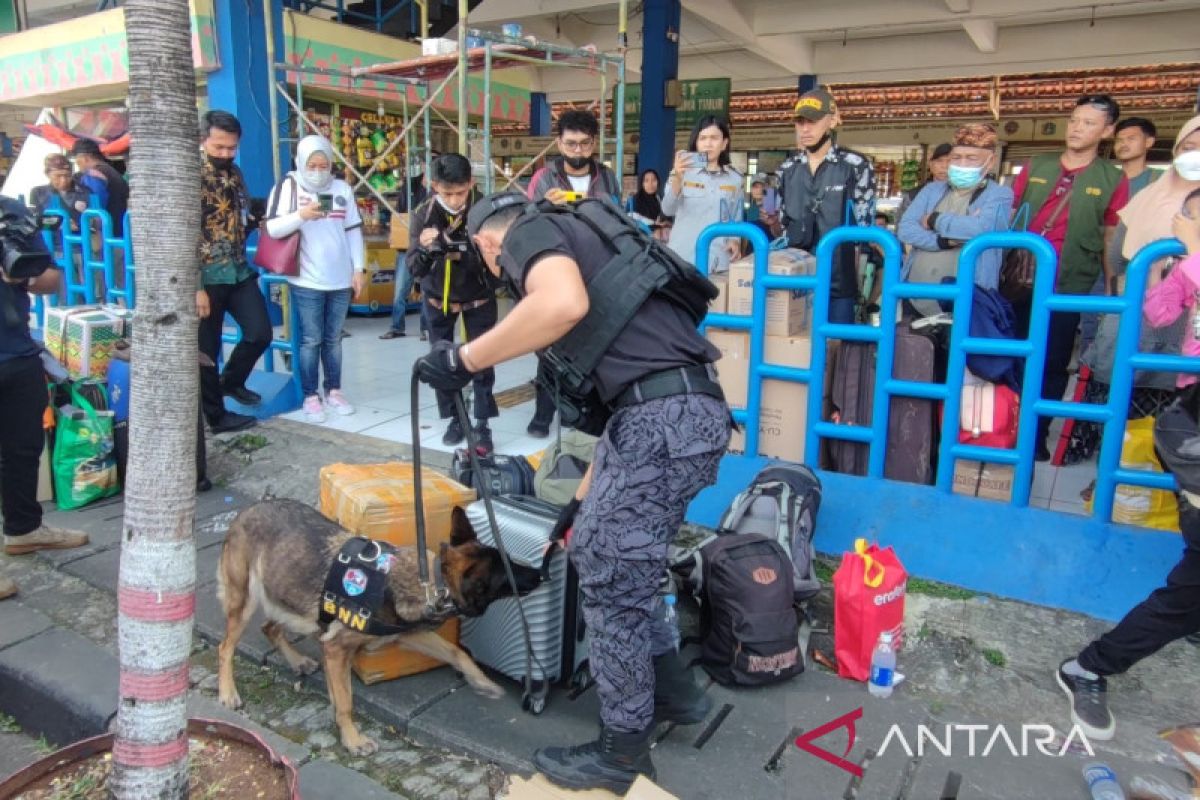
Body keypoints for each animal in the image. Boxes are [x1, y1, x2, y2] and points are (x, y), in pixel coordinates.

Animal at [216, 496, 540, 753]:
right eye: (510, 572)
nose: (541, 573)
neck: (428, 582)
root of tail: (248, 509)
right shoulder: (337, 648)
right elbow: (346, 702)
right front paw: (353, 740)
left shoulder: (407, 634)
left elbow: (457, 652)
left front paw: (482, 681)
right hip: (244, 602)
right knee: (225, 647)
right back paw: (228, 692)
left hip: (283, 596)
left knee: (269, 627)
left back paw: (297, 661)